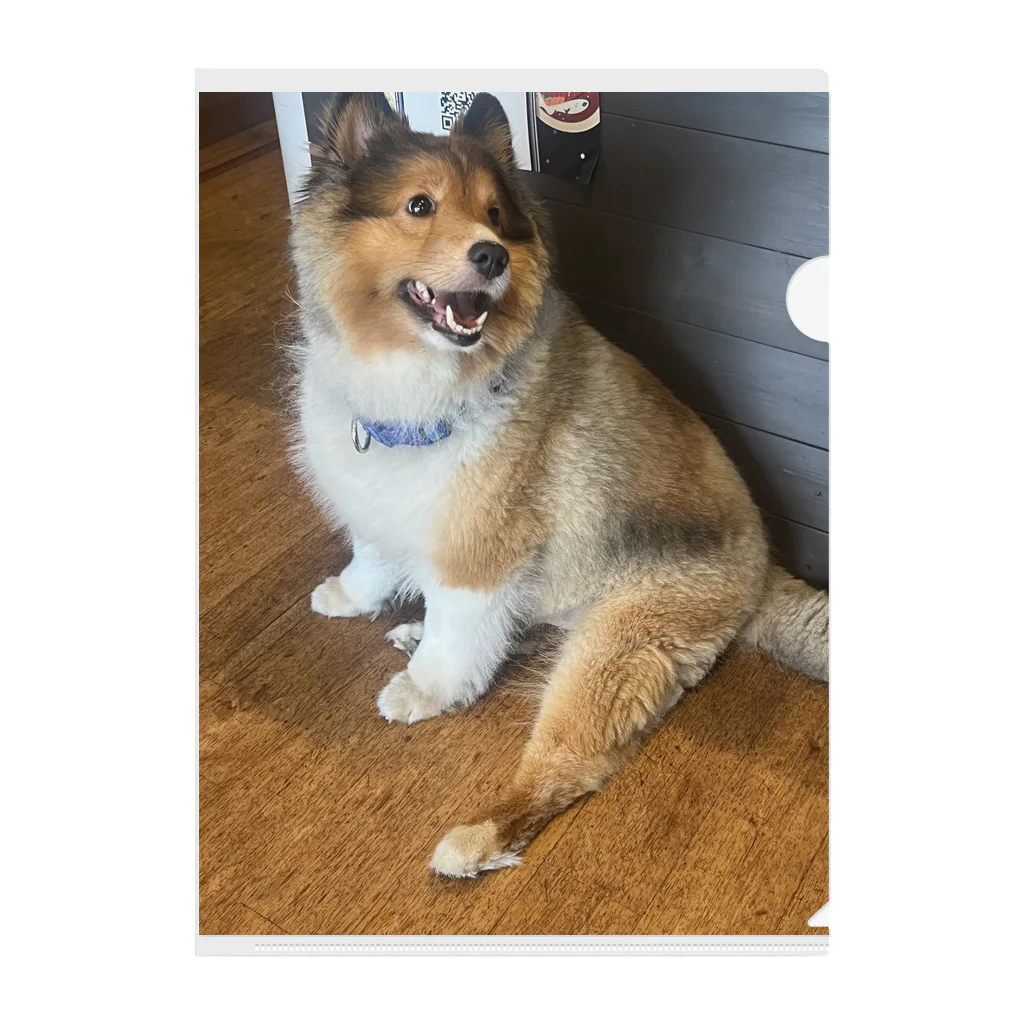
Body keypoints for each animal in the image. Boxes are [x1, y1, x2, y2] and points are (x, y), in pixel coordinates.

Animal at [288, 92, 828, 878]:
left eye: (493, 214)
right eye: (419, 206)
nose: (492, 255)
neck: (420, 380)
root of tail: (765, 575)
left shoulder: (482, 548)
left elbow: (459, 634)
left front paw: (428, 687)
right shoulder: (389, 496)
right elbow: (375, 554)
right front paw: (353, 596)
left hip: (609, 657)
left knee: (563, 768)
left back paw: (475, 840)